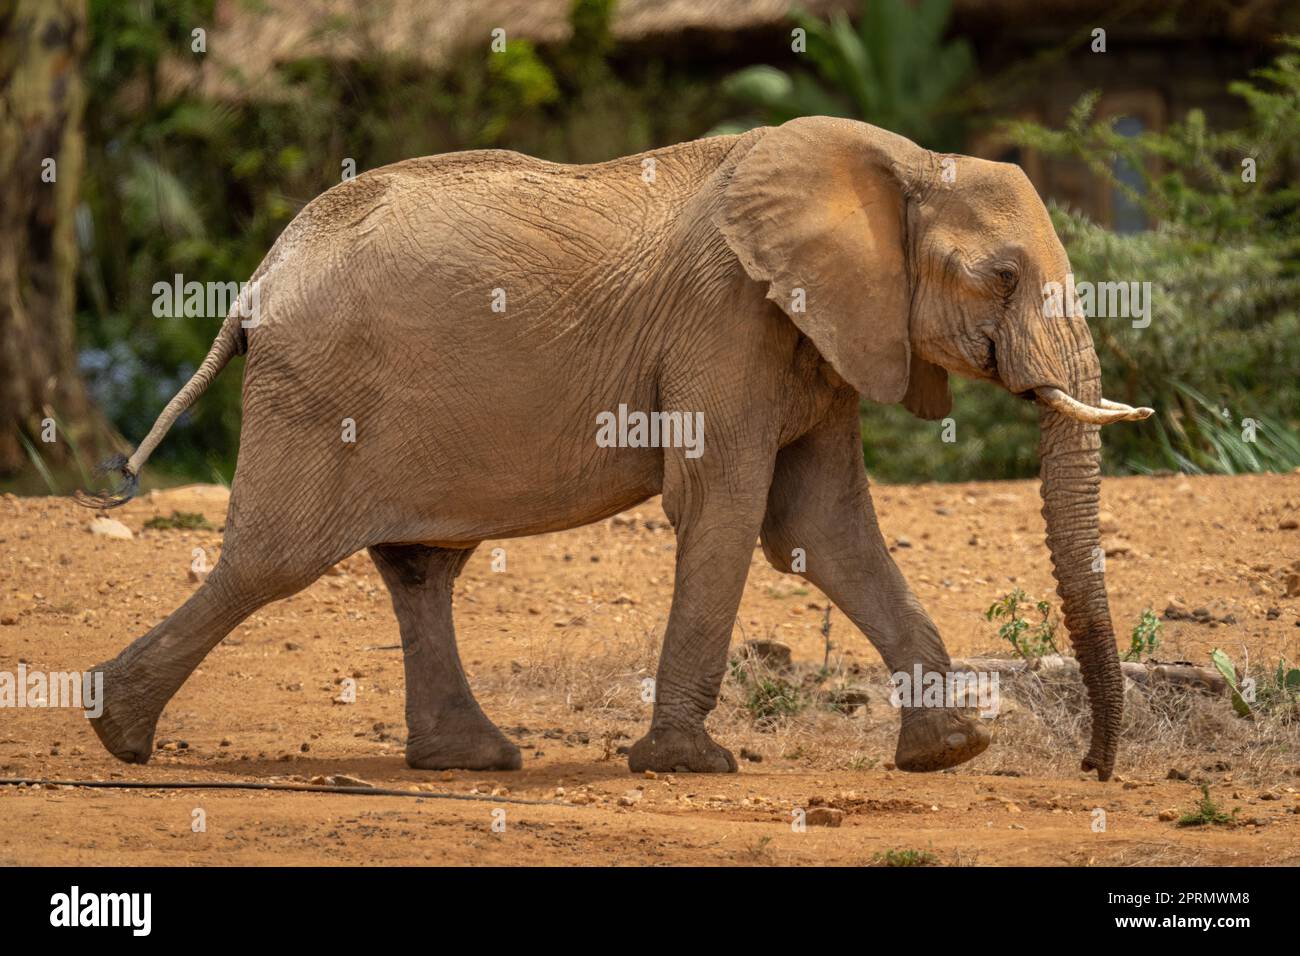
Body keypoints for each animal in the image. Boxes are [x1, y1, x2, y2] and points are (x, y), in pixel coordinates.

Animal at [81, 115, 1154, 780]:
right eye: (1001, 277)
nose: (1095, 766)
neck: (902, 160)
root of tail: (260, 276)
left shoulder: (820, 332)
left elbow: (824, 526)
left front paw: (951, 751)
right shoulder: (727, 316)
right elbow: (728, 505)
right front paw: (690, 764)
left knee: (421, 567)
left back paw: (470, 759)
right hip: (318, 394)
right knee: (270, 563)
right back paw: (116, 732)